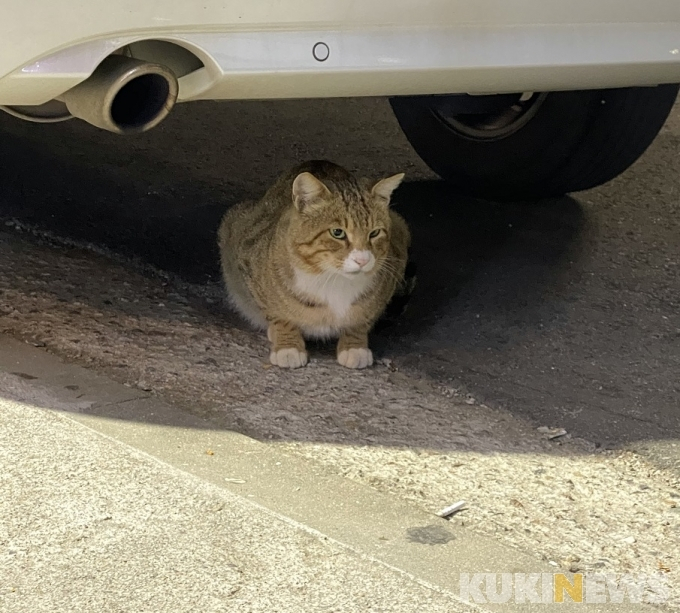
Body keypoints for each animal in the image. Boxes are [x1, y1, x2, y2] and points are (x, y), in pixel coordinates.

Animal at [218, 160, 410, 368]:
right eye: (337, 232)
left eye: (374, 233)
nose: (363, 260)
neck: (334, 279)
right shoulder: (247, 261)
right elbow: (277, 314)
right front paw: (288, 345)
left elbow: (362, 319)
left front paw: (354, 345)